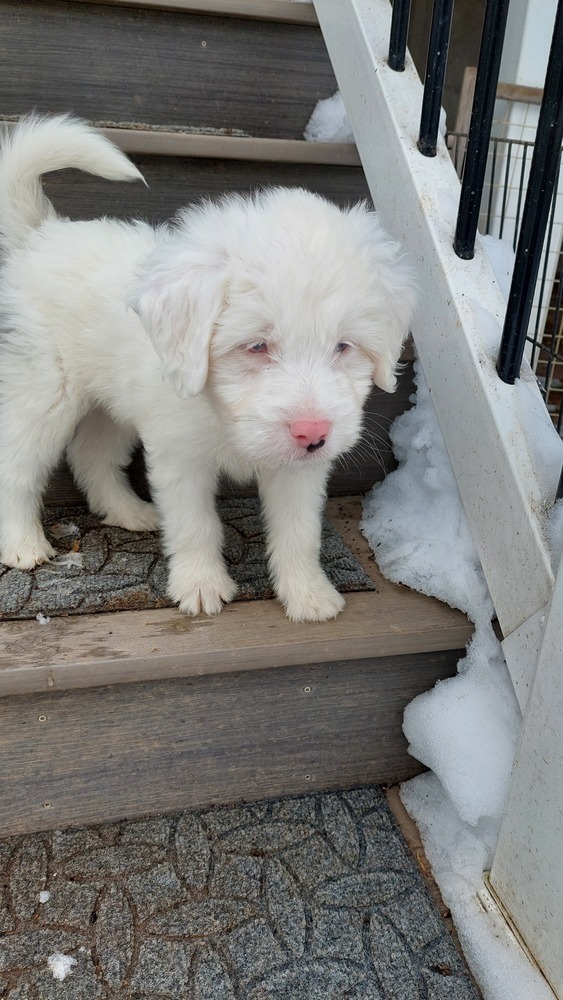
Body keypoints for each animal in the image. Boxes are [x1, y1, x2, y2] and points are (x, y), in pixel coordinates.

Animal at [0, 115, 414, 616]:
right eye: (256, 345)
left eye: (343, 346)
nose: (312, 434)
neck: (221, 414)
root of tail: (42, 235)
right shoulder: (181, 456)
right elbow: (196, 525)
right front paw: (200, 586)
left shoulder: (298, 470)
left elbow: (300, 531)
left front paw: (308, 594)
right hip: (45, 391)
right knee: (17, 463)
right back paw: (22, 544)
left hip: (115, 401)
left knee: (91, 454)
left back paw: (130, 512)